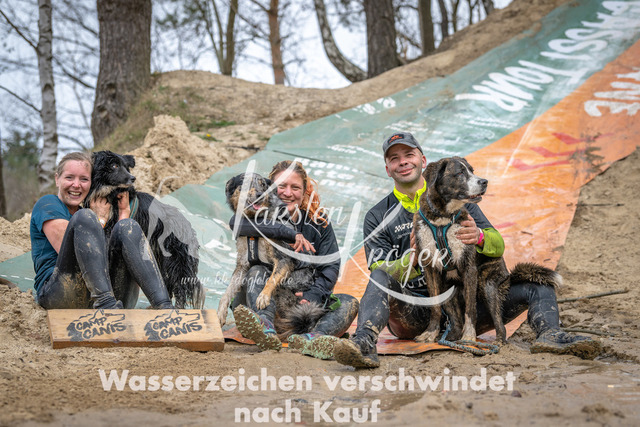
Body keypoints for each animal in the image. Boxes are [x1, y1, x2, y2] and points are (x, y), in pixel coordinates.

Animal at [86, 150, 205, 309]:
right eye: (114, 165)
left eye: (125, 166)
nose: (132, 178)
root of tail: (189, 229)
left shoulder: (111, 226)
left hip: (175, 261)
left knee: (179, 286)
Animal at [413, 156, 561, 344]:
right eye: (460, 173)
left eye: (472, 170)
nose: (484, 182)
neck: (442, 219)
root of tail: (508, 277)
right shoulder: (430, 268)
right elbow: (435, 307)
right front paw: (430, 333)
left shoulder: (468, 267)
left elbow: (470, 309)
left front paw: (469, 336)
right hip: (448, 289)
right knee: (456, 320)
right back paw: (451, 338)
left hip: (488, 284)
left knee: (499, 323)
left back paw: (497, 342)